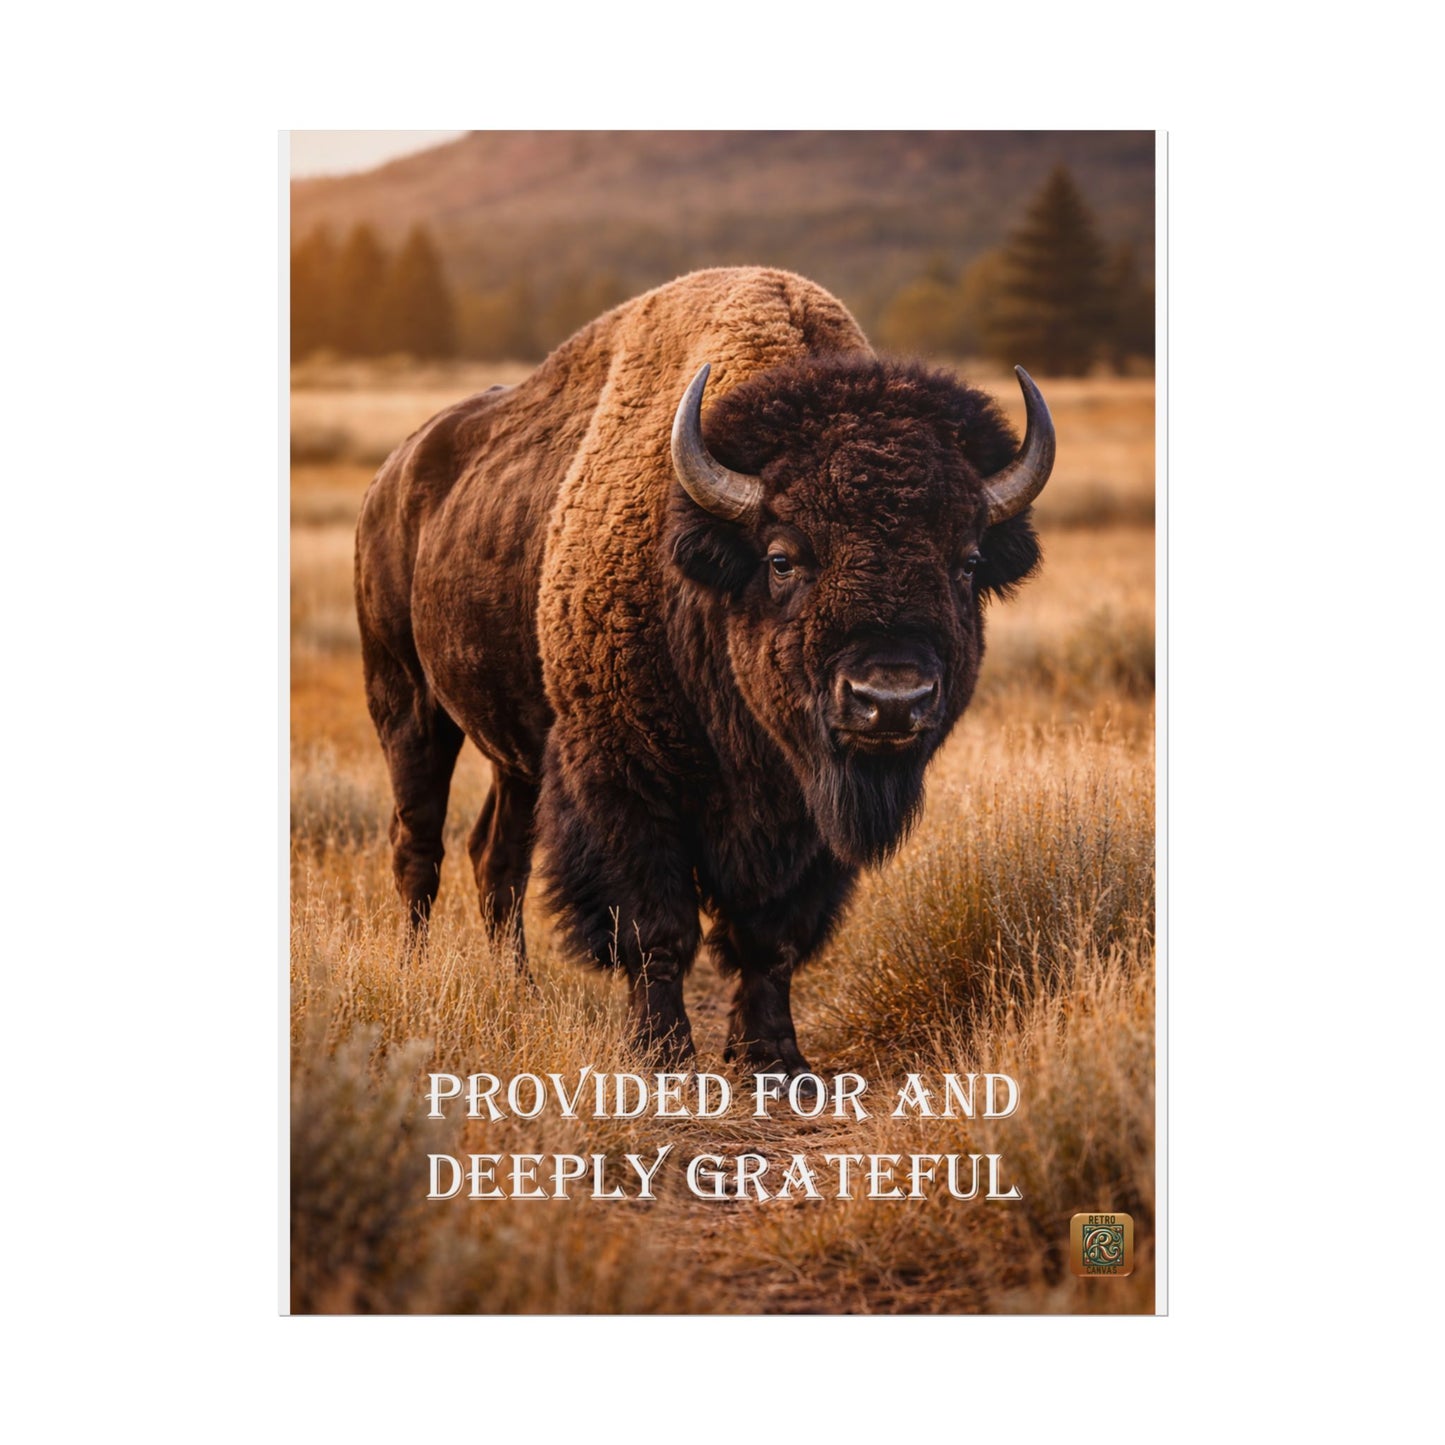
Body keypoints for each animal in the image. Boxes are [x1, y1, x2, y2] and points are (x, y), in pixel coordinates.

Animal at [354, 266, 1054, 1080]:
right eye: (783, 558)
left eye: (966, 561)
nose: (889, 700)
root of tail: (395, 473)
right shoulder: (623, 779)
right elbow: (656, 928)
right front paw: (661, 1054)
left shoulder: (804, 819)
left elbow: (770, 936)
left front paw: (776, 1059)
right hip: (406, 701)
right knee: (419, 846)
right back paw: (414, 973)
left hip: (516, 754)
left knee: (495, 857)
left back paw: (518, 990)